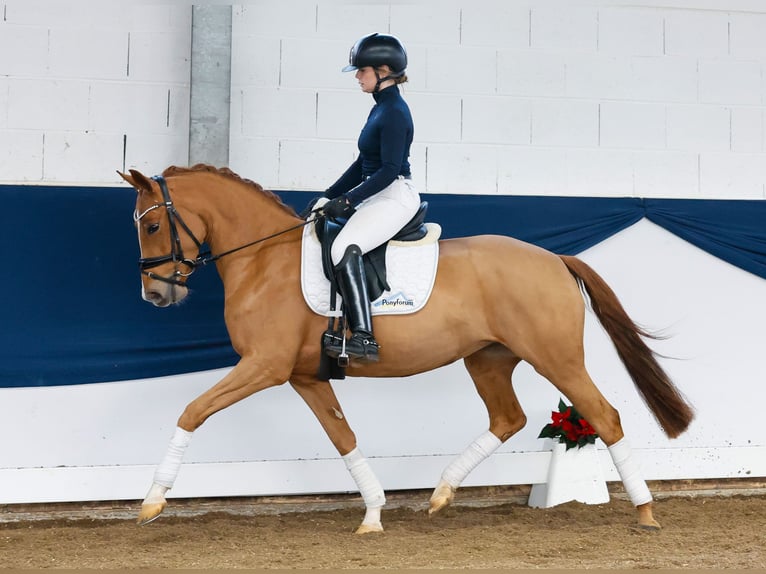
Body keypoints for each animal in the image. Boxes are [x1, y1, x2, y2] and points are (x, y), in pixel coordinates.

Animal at [118, 165, 696, 536]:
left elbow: (192, 411)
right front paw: (374, 514)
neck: (264, 259)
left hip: (555, 357)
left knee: (604, 414)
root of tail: (555, 258)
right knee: (507, 418)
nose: (156, 295)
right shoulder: (306, 375)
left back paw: (645, 513)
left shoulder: (264, 366)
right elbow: (343, 437)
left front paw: (151, 502)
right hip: (488, 358)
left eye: (153, 224)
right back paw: (440, 494)